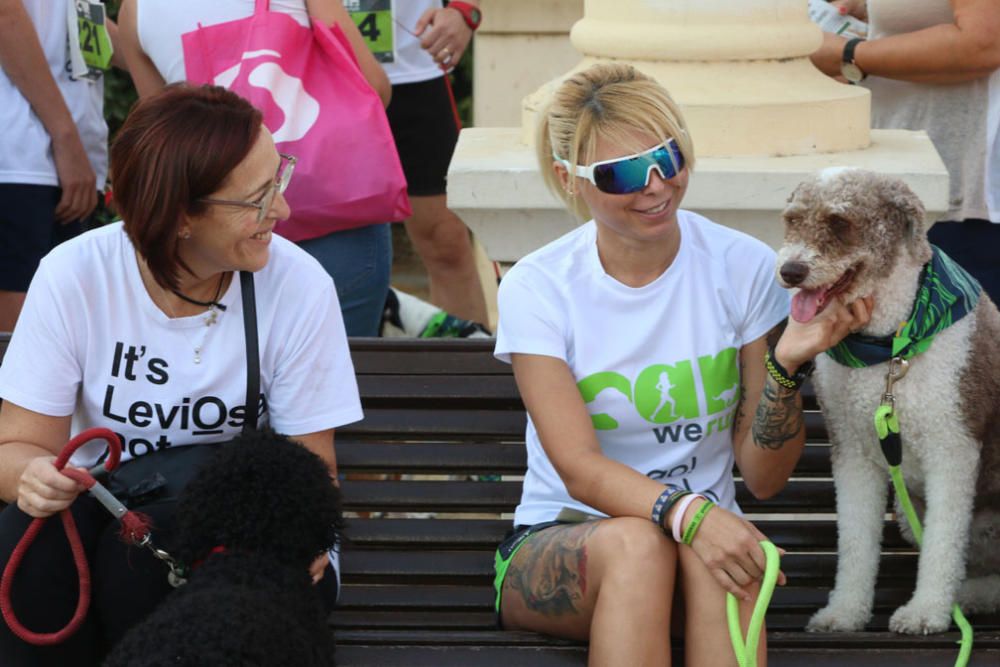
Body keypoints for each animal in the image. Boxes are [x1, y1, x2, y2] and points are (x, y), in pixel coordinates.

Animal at [776, 168, 996, 636]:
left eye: (840, 222)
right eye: (792, 219)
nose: (790, 270)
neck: (890, 349)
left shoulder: (952, 446)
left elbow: (943, 546)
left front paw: (926, 612)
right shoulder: (853, 451)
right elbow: (856, 543)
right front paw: (844, 613)